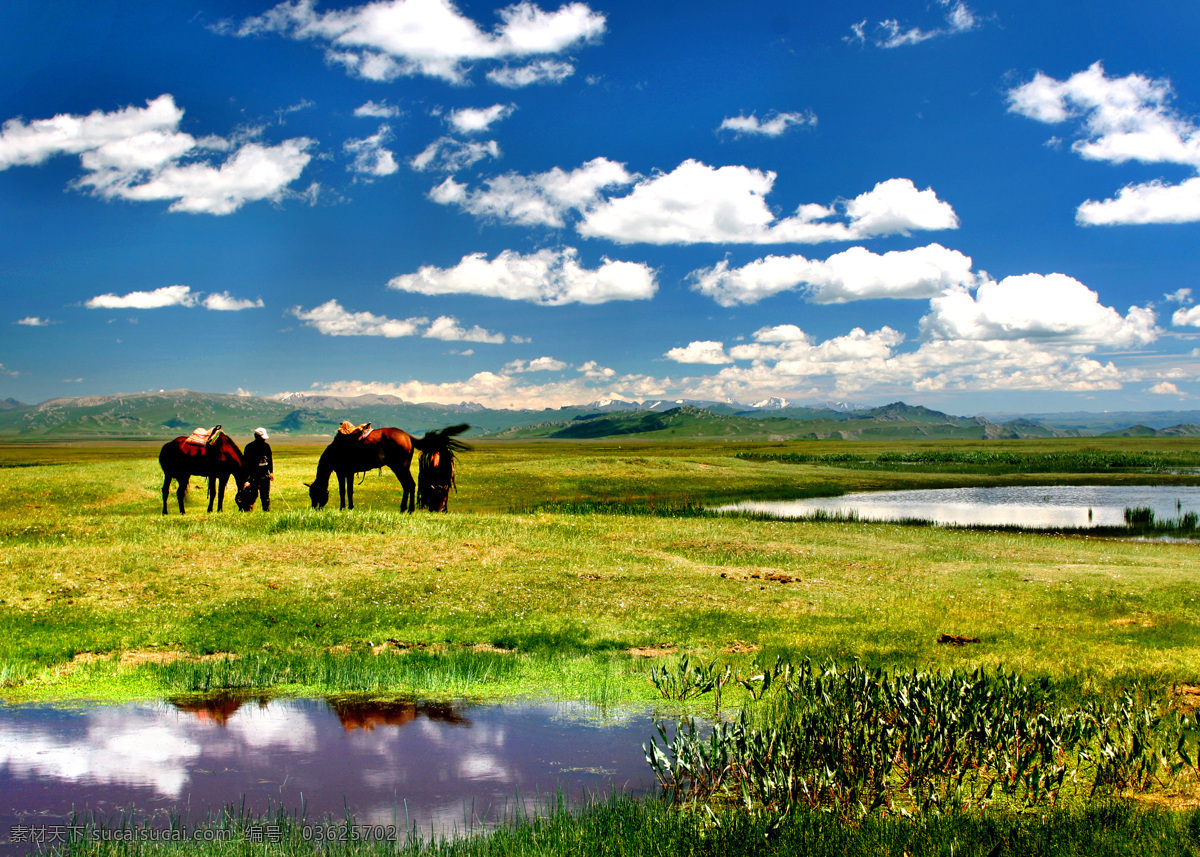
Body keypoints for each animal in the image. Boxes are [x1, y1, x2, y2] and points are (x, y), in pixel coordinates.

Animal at [307, 424, 470, 511]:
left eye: (314, 493)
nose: (315, 508)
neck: (334, 450)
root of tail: (408, 437)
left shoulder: (341, 472)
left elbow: (343, 491)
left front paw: (343, 508)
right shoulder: (349, 473)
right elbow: (349, 490)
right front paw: (350, 507)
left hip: (400, 467)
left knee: (409, 485)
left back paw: (408, 509)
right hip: (403, 468)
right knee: (409, 486)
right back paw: (405, 509)